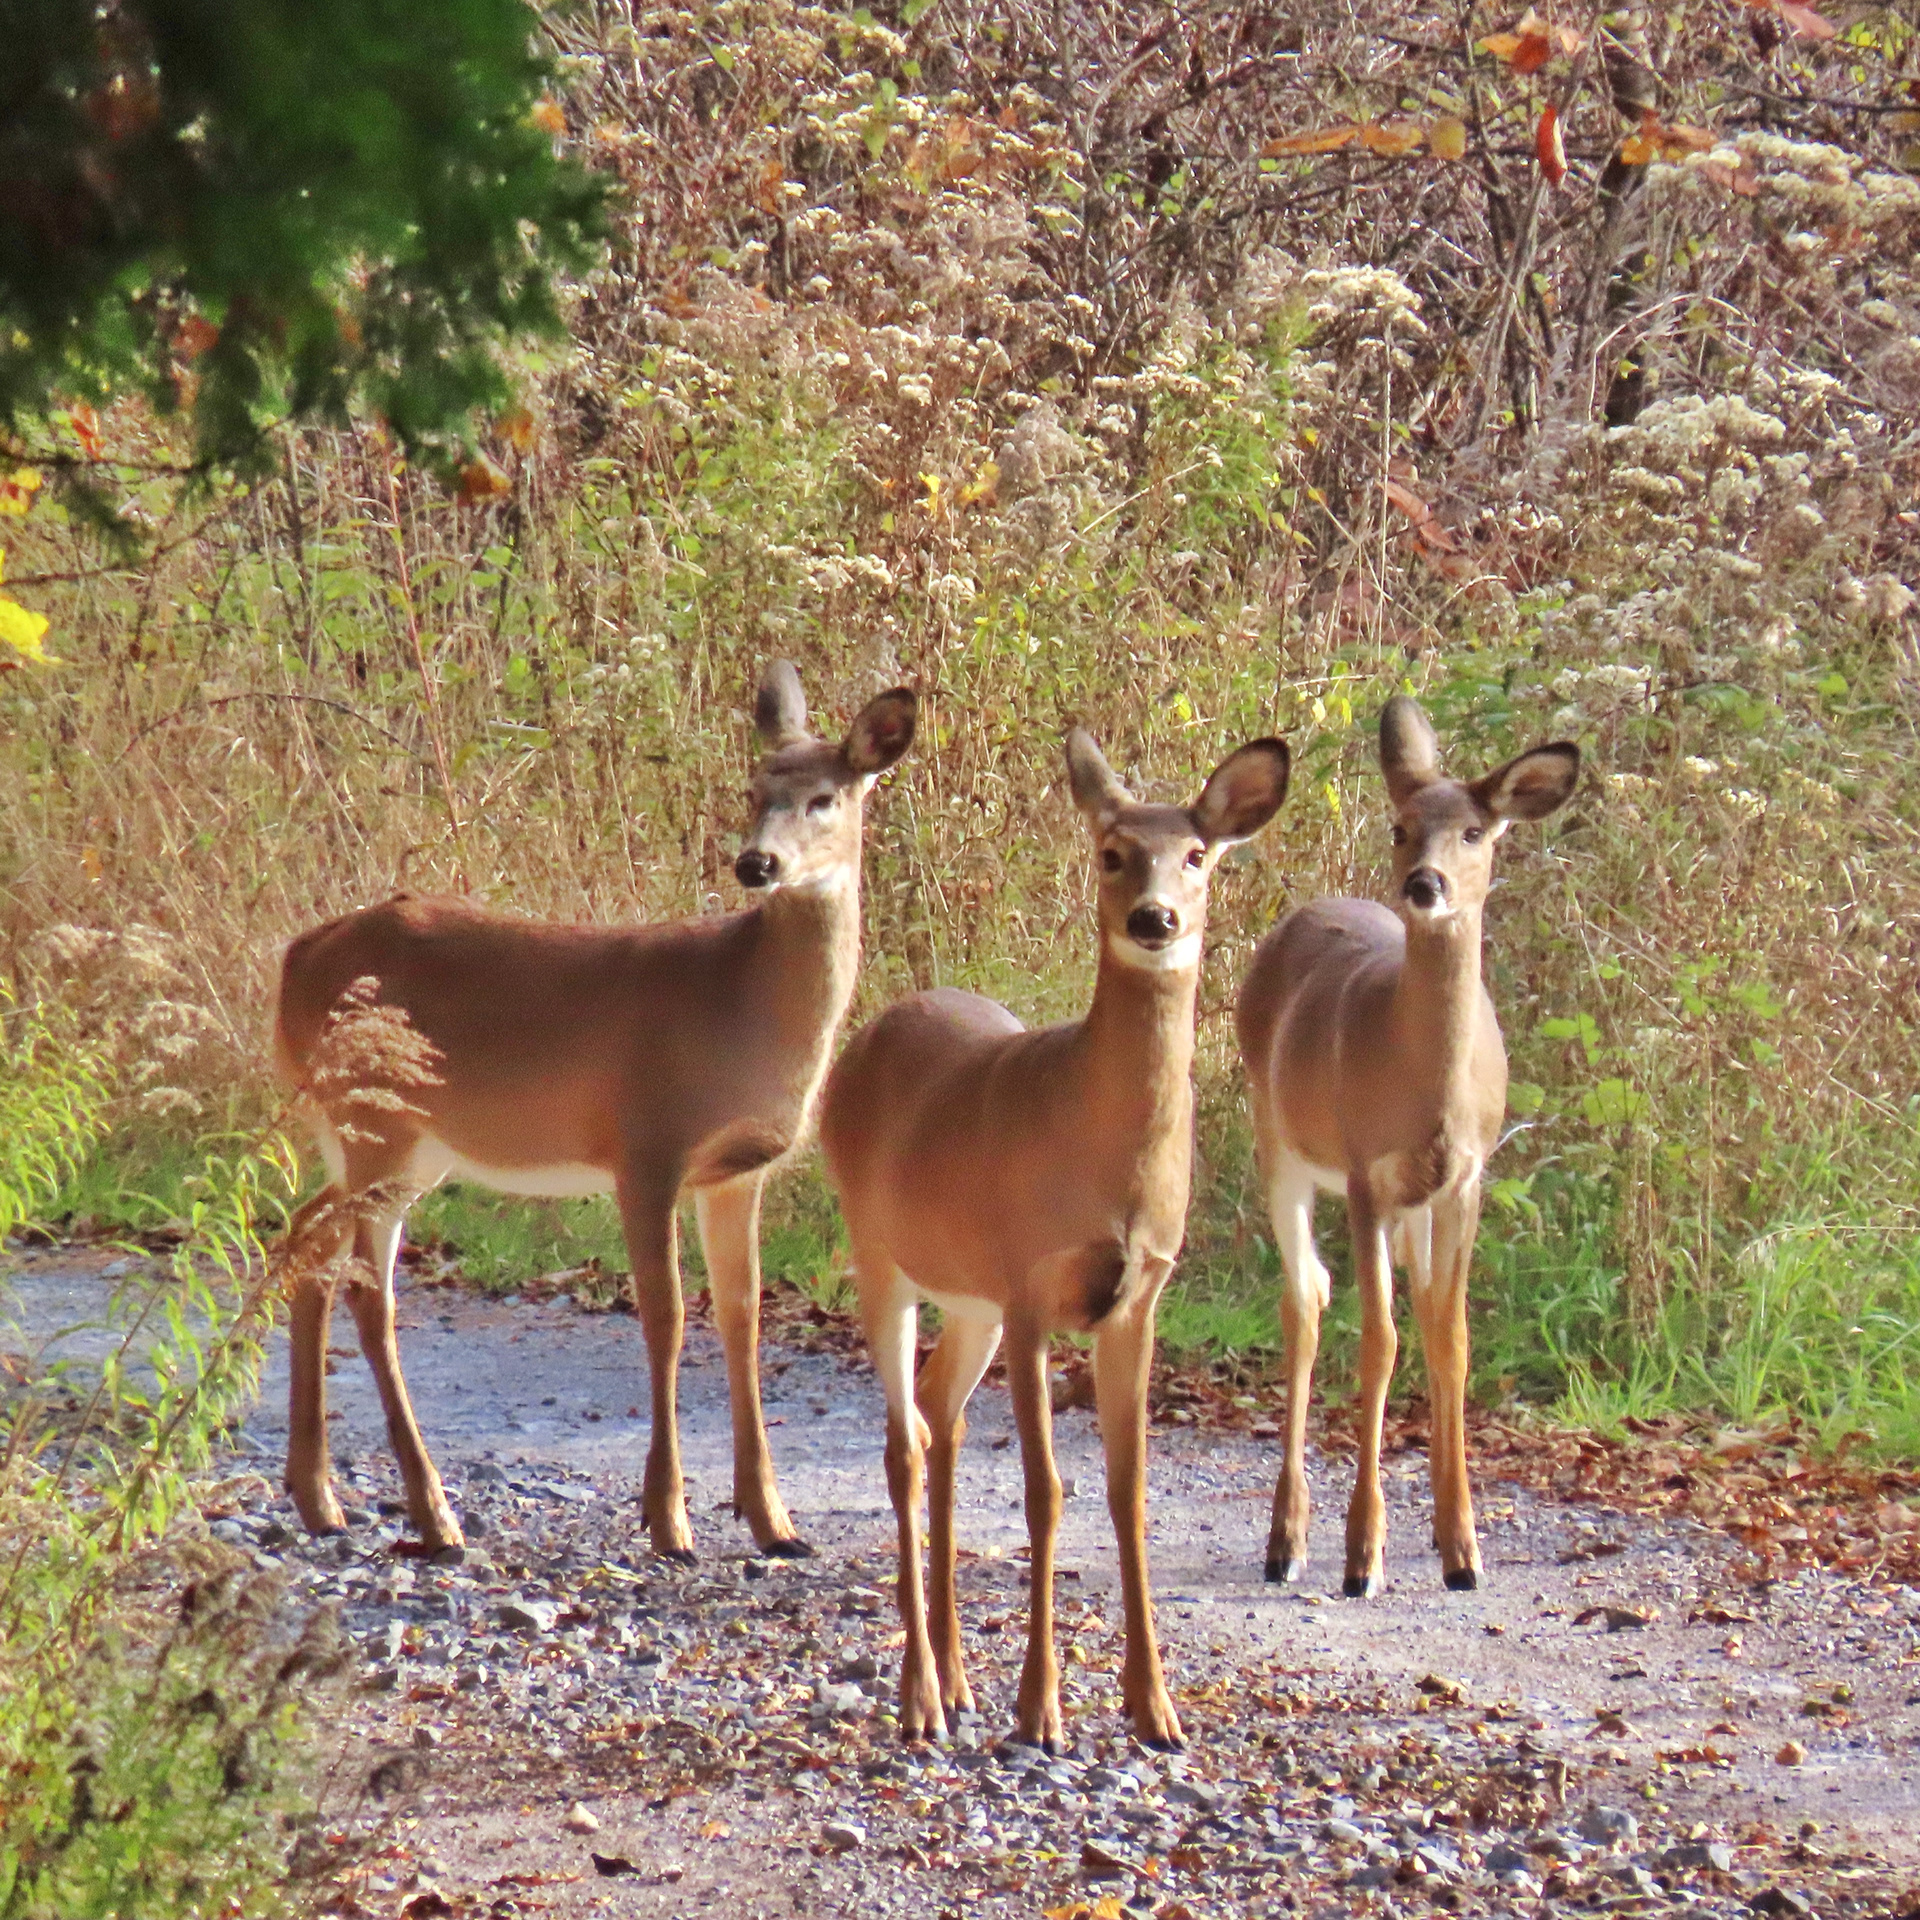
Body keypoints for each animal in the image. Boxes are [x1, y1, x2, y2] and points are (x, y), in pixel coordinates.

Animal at [273, 661, 915, 1564]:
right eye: (753, 788)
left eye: (826, 797)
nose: (756, 863)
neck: (742, 1004)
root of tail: (294, 958)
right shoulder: (646, 1145)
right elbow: (668, 1318)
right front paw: (670, 1519)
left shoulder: (736, 1170)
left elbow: (743, 1316)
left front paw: (774, 1521)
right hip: (381, 1125)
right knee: (368, 1291)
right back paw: (433, 1517)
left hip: (393, 1143)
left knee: (304, 1240)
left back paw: (319, 1498)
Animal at [820, 727, 1290, 1751]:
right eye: (1112, 852)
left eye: (1198, 855)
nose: (1155, 918)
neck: (1104, 1157)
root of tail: (872, 1031)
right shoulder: (1033, 1287)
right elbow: (1046, 1493)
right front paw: (1041, 1709)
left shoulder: (1137, 1300)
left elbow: (1127, 1491)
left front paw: (1155, 1709)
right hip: (882, 1255)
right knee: (904, 1444)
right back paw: (920, 1697)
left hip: (971, 1301)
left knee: (939, 1416)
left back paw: (957, 1680)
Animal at [1235, 695, 1579, 1598]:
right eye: (1400, 826)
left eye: (1475, 832)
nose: (1424, 884)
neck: (1424, 1085)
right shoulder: (1365, 1173)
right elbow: (1379, 1340)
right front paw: (1363, 1556)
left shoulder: (1465, 1179)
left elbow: (1450, 1338)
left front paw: (1463, 1550)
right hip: (1277, 1140)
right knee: (1305, 1301)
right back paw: (1285, 1541)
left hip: (1411, 1201)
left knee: (1401, 1306)